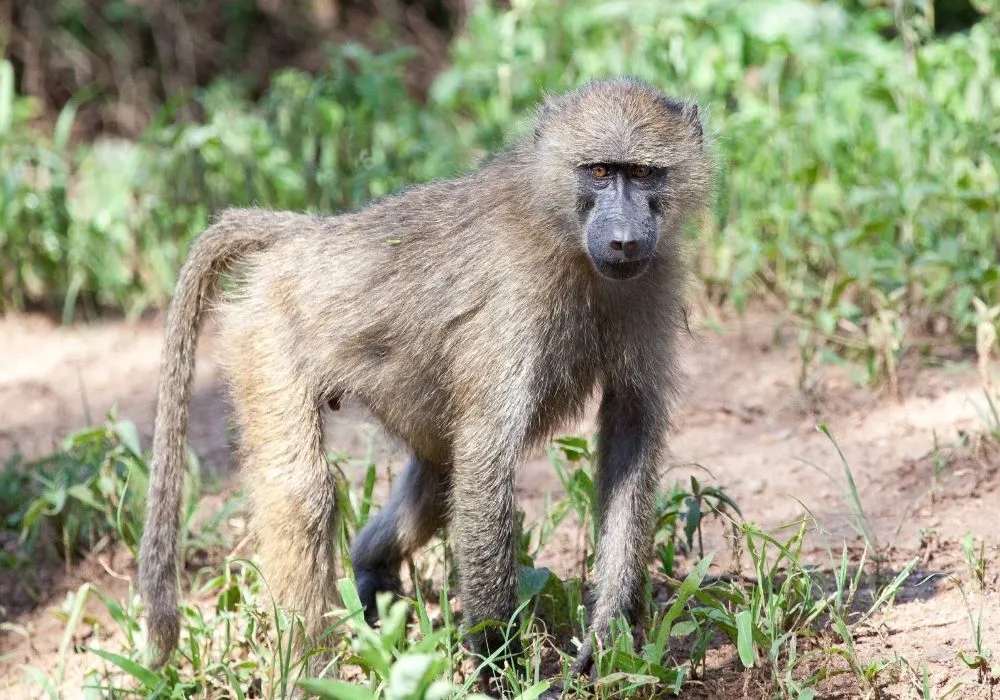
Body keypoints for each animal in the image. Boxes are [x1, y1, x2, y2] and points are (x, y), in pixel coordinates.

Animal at [138, 77, 713, 688]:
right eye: (600, 172)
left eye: (644, 173)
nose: (625, 240)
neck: (566, 235)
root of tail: (310, 236)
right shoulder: (516, 299)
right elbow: (486, 459)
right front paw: (501, 671)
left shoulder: (651, 280)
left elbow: (630, 431)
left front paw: (605, 640)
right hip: (266, 333)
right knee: (304, 495)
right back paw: (306, 671)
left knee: (437, 478)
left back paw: (371, 571)